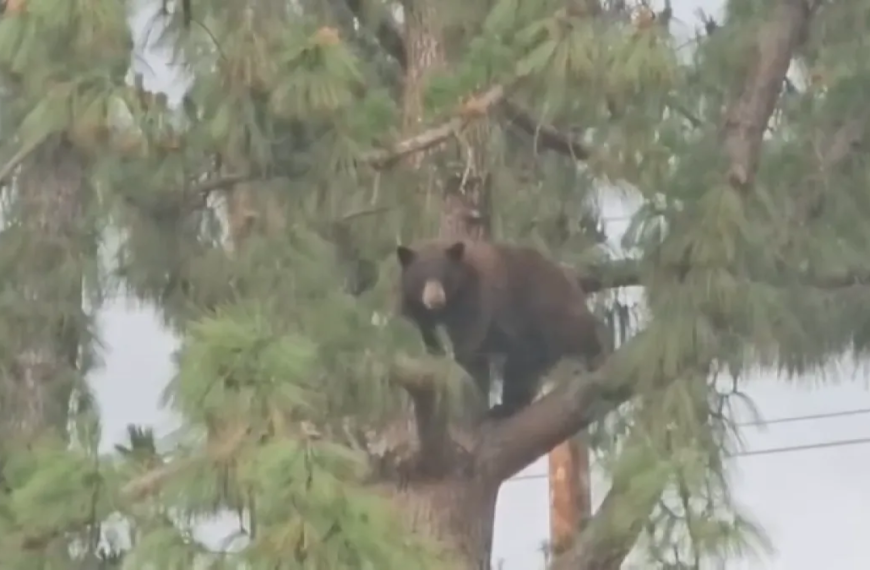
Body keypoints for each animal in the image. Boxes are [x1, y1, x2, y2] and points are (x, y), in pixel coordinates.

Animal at [395, 238, 607, 420]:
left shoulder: (478, 302)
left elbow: (471, 346)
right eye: (420, 278)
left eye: (445, 277)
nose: (435, 299)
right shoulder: (419, 315)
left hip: (547, 306)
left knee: (573, 331)